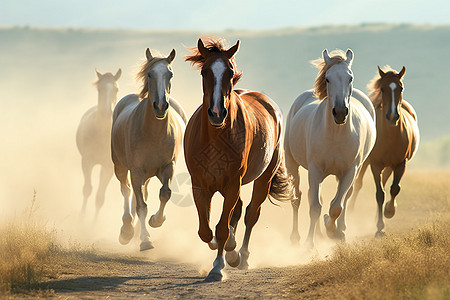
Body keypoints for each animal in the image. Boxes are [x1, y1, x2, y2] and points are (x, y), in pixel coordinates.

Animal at [76, 68, 121, 218]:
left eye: (116, 89)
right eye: (99, 89)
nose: (107, 112)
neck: (101, 134)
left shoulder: (109, 167)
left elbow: (100, 198)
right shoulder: (87, 161)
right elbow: (87, 190)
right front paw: (81, 218)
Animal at [110, 48, 186, 251]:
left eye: (170, 74)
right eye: (150, 74)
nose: (160, 106)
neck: (153, 132)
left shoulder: (168, 167)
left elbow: (165, 194)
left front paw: (156, 220)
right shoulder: (136, 170)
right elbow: (141, 206)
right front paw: (145, 240)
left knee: (141, 193)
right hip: (120, 167)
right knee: (127, 191)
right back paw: (127, 230)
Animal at [185, 37, 294, 282]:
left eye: (230, 71)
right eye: (204, 71)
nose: (217, 113)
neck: (215, 138)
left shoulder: (232, 183)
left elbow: (222, 227)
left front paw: (218, 266)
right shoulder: (200, 185)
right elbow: (205, 230)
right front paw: (223, 249)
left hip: (263, 178)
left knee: (251, 213)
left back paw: (241, 256)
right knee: (238, 210)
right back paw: (233, 250)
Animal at [284, 49, 376, 248]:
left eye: (350, 78)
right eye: (327, 79)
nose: (340, 112)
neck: (335, 134)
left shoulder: (350, 170)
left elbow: (336, 206)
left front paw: (333, 231)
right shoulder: (315, 169)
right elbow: (315, 207)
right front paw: (309, 243)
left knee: (343, 198)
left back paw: (337, 229)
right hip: (292, 164)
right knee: (298, 197)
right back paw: (296, 237)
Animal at [350, 65, 420, 237]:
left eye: (401, 88)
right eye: (382, 89)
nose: (392, 116)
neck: (390, 136)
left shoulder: (401, 163)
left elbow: (394, 188)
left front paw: (389, 211)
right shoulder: (375, 164)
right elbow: (379, 194)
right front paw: (380, 227)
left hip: (389, 166)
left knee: (385, 182)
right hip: (366, 163)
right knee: (359, 184)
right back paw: (351, 212)